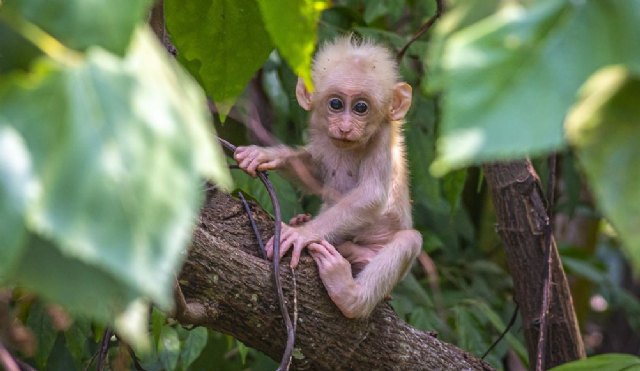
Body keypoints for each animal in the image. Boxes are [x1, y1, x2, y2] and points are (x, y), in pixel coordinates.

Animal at [235, 35, 420, 320]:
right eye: (336, 104)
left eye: (361, 107)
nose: (344, 127)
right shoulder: (322, 132)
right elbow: (316, 173)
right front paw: (266, 155)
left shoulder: (382, 137)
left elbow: (372, 194)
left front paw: (302, 234)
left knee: (410, 239)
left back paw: (349, 294)